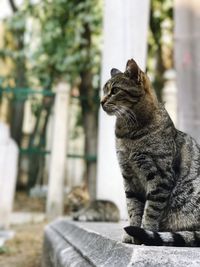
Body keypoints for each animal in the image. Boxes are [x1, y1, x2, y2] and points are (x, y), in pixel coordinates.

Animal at [101, 58, 200, 247]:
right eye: (104, 91)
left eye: (115, 90)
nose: (101, 101)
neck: (127, 133)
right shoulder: (129, 177)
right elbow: (133, 208)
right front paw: (132, 234)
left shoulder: (160, 177)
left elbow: (151, 210)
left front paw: (145, 233)